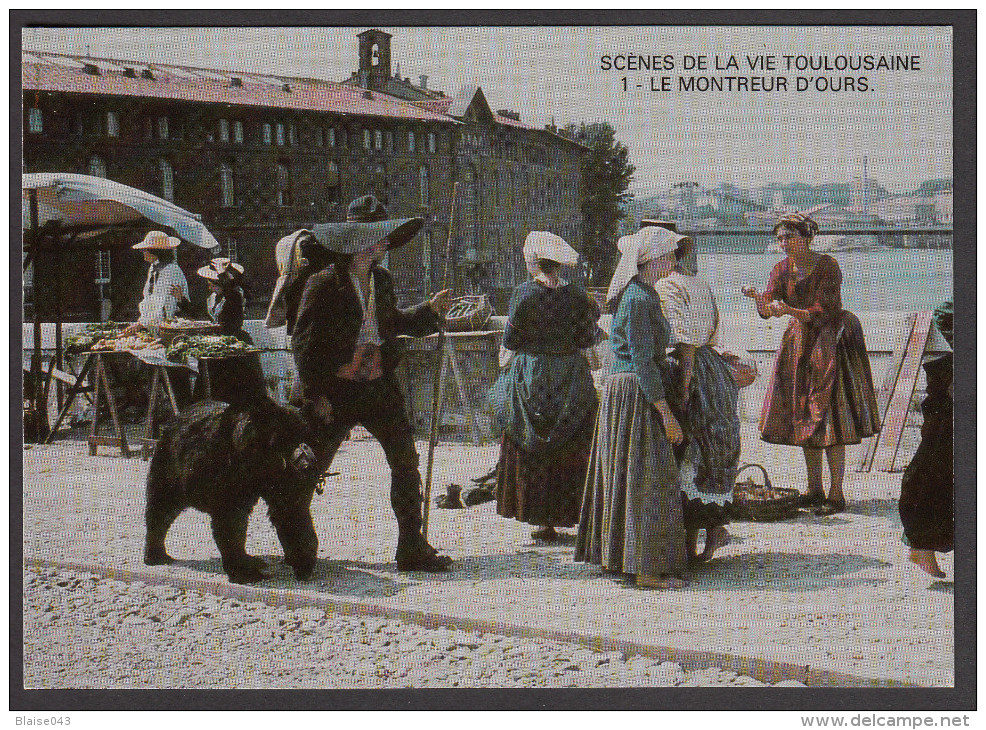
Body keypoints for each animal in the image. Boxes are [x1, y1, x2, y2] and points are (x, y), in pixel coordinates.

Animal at [144, 396, 320, 584]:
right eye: (288, 438)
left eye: (306, 436)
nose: (308, 462)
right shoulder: (228, 478)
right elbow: (231, 523)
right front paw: (244, 572)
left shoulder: (275, 480)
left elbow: (290, 510)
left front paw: (303, 559)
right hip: (171, 468)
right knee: (161, 508)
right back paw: (156, 554)